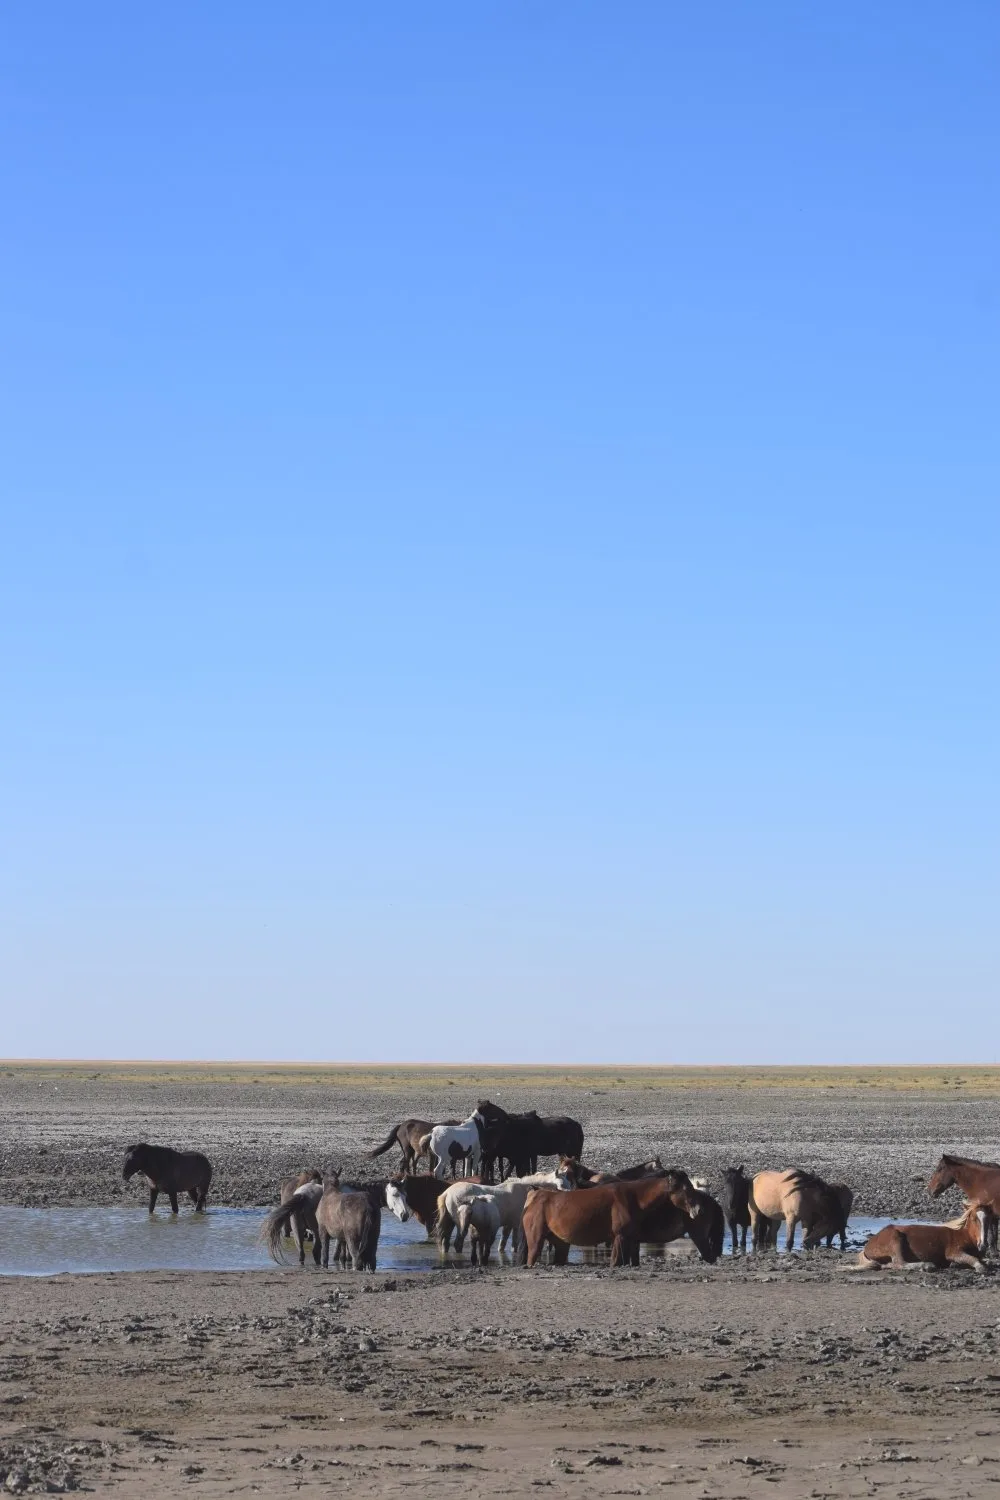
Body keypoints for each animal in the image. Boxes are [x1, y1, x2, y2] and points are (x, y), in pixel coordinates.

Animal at [521, 1170, 713, 1268]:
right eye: (686, 1189)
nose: (699, 1209)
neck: (633, 1197)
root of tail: (534, 1194)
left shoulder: (625, 1239)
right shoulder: (620, 1237)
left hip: (559, 1243)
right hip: (535, 1241)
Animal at [853, 1207, 987, 1272]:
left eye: (989, 1218)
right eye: (974, 1219)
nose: (983, 1244)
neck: (963, 1236)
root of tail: (868, 1246)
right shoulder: (953, 1252)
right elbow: (973, 1259)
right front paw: (980, 1267)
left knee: (889, 1264)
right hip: (895, 1239)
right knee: (900, 1263)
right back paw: (927, 1265)